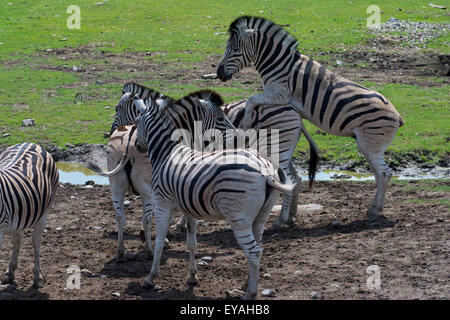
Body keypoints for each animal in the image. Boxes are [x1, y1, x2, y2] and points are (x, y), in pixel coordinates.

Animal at [0, 142, 58, 288]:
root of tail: (31, 143)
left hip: (45, 211)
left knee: (36, 241)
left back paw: (37, 277)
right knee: (18, 239)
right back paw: (10, 272)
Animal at [129, 88, 296, 300]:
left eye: (136, 122)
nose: (137, 145)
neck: (167, 151)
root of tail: (265, 170)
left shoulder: (162, 203)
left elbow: (159, 241)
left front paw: (150, 278)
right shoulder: (189, 209)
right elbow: (192, 243)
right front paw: (192, 276)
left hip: (238, 217)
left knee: (254, 252)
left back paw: (250, 292)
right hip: (261, 216)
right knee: (259, 247)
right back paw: (246, 284)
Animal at [216, 15, 406, 220]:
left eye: (235, 49)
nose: (219, 73)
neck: (279, 63)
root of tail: (397, 114)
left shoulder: (280, 93)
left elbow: (251, 99)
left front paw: (245, 122)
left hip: (370, 145)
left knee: (384, 174)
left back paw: (373, 210)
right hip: (372, 146)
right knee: (381, 174)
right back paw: (375, 208)